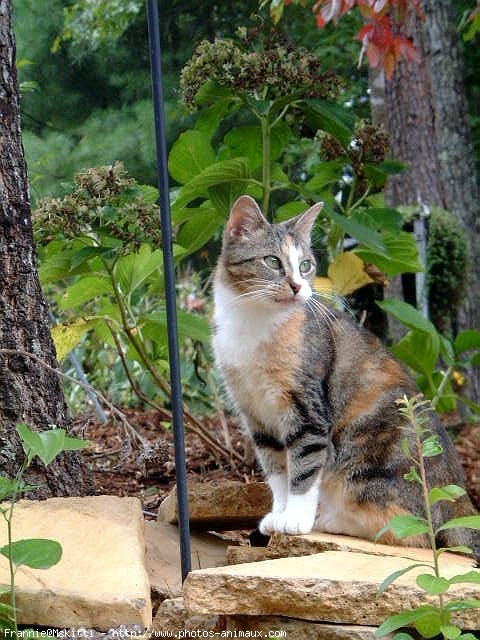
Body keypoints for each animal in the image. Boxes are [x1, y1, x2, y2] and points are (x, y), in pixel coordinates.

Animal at [214, 195, 480, 556]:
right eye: (272, 261)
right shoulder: (255, 413)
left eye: (306, 265)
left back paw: (330, 520)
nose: (298, 286)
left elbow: (304, 465)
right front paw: (279, 513)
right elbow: (277, 471)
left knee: (416, 532)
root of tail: (458, 501)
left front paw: (295, 519)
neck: (254, 323)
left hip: (368, 460)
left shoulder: (307, 407)